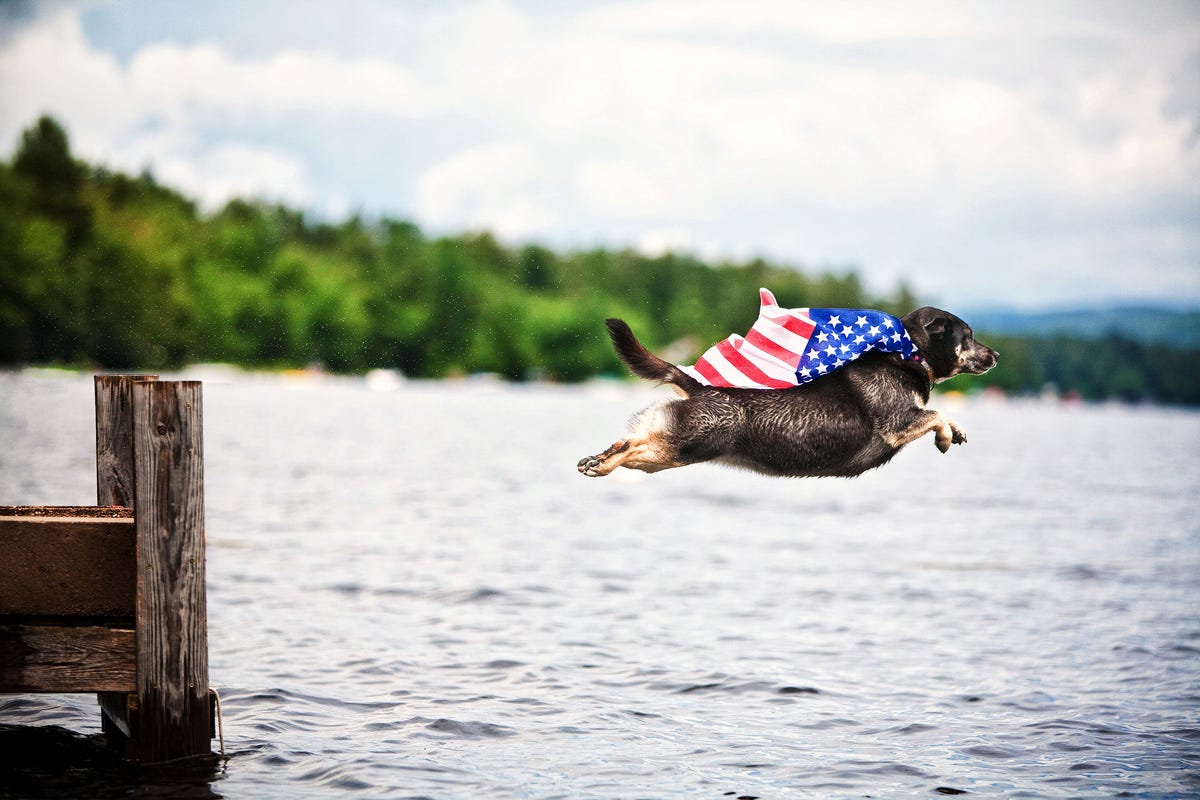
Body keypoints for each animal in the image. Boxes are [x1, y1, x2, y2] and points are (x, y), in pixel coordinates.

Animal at [576, 309, 998, 479]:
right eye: (968, 337)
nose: (995, 355)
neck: (906, 353)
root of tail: (697, 385)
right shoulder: (898, 423)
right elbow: (936, 414)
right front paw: (947, 436)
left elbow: (940, 413)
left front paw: (955, 432)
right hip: (682, 445)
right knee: (631, 446)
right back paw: (600, 465)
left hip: (664, 454)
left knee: (625, 442)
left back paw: (595, 461)